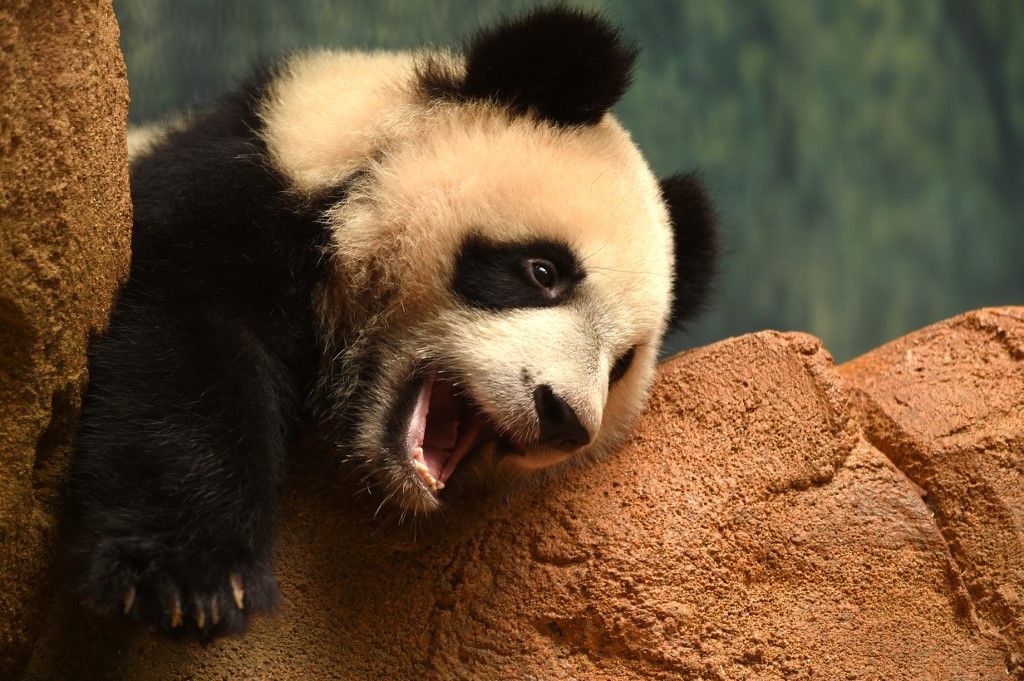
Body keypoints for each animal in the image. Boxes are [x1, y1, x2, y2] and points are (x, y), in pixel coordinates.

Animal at [71, 6, 718, 640]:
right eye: (542, 270)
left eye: (621, 364)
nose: (562, 418)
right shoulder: (236, 194)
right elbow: (187, 351)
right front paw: (195, 580)